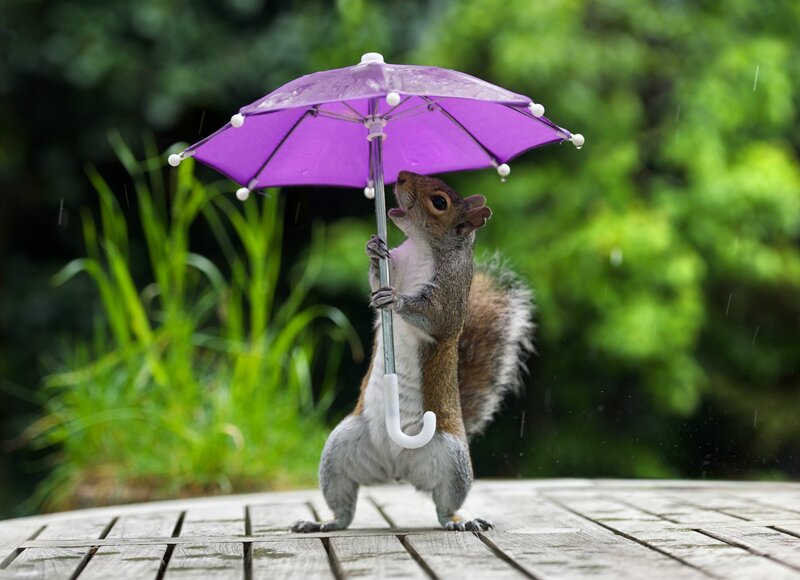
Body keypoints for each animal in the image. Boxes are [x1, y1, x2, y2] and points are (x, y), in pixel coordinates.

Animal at [292, 170, 534, 533]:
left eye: (439, 202)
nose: (402, 176)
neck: (421, 247)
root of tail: (397, 470)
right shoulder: (395, 267)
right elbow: (375, 281)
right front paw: (372, 249)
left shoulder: (448, 299)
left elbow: (433, 319)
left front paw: (398, 300)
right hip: (339, 450)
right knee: (344, 508)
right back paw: (323, 523)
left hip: (451, 461)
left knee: (444, 505)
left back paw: (460, 521)